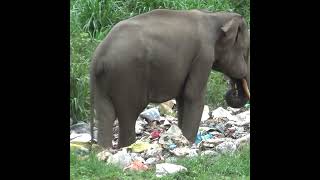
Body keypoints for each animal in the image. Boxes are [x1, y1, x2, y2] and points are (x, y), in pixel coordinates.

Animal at [89, 9, 250, 148]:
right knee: (129, 114)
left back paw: (104, 150)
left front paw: (182, 138)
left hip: (102, 82)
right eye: (246, 52)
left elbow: (182, 98)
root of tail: (99, 57)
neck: (215, 16)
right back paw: (126, 147)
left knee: (105, 113)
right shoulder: (203, 55)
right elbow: (192, 95)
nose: (232, 89)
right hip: (127, 75)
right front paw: (189, 142)